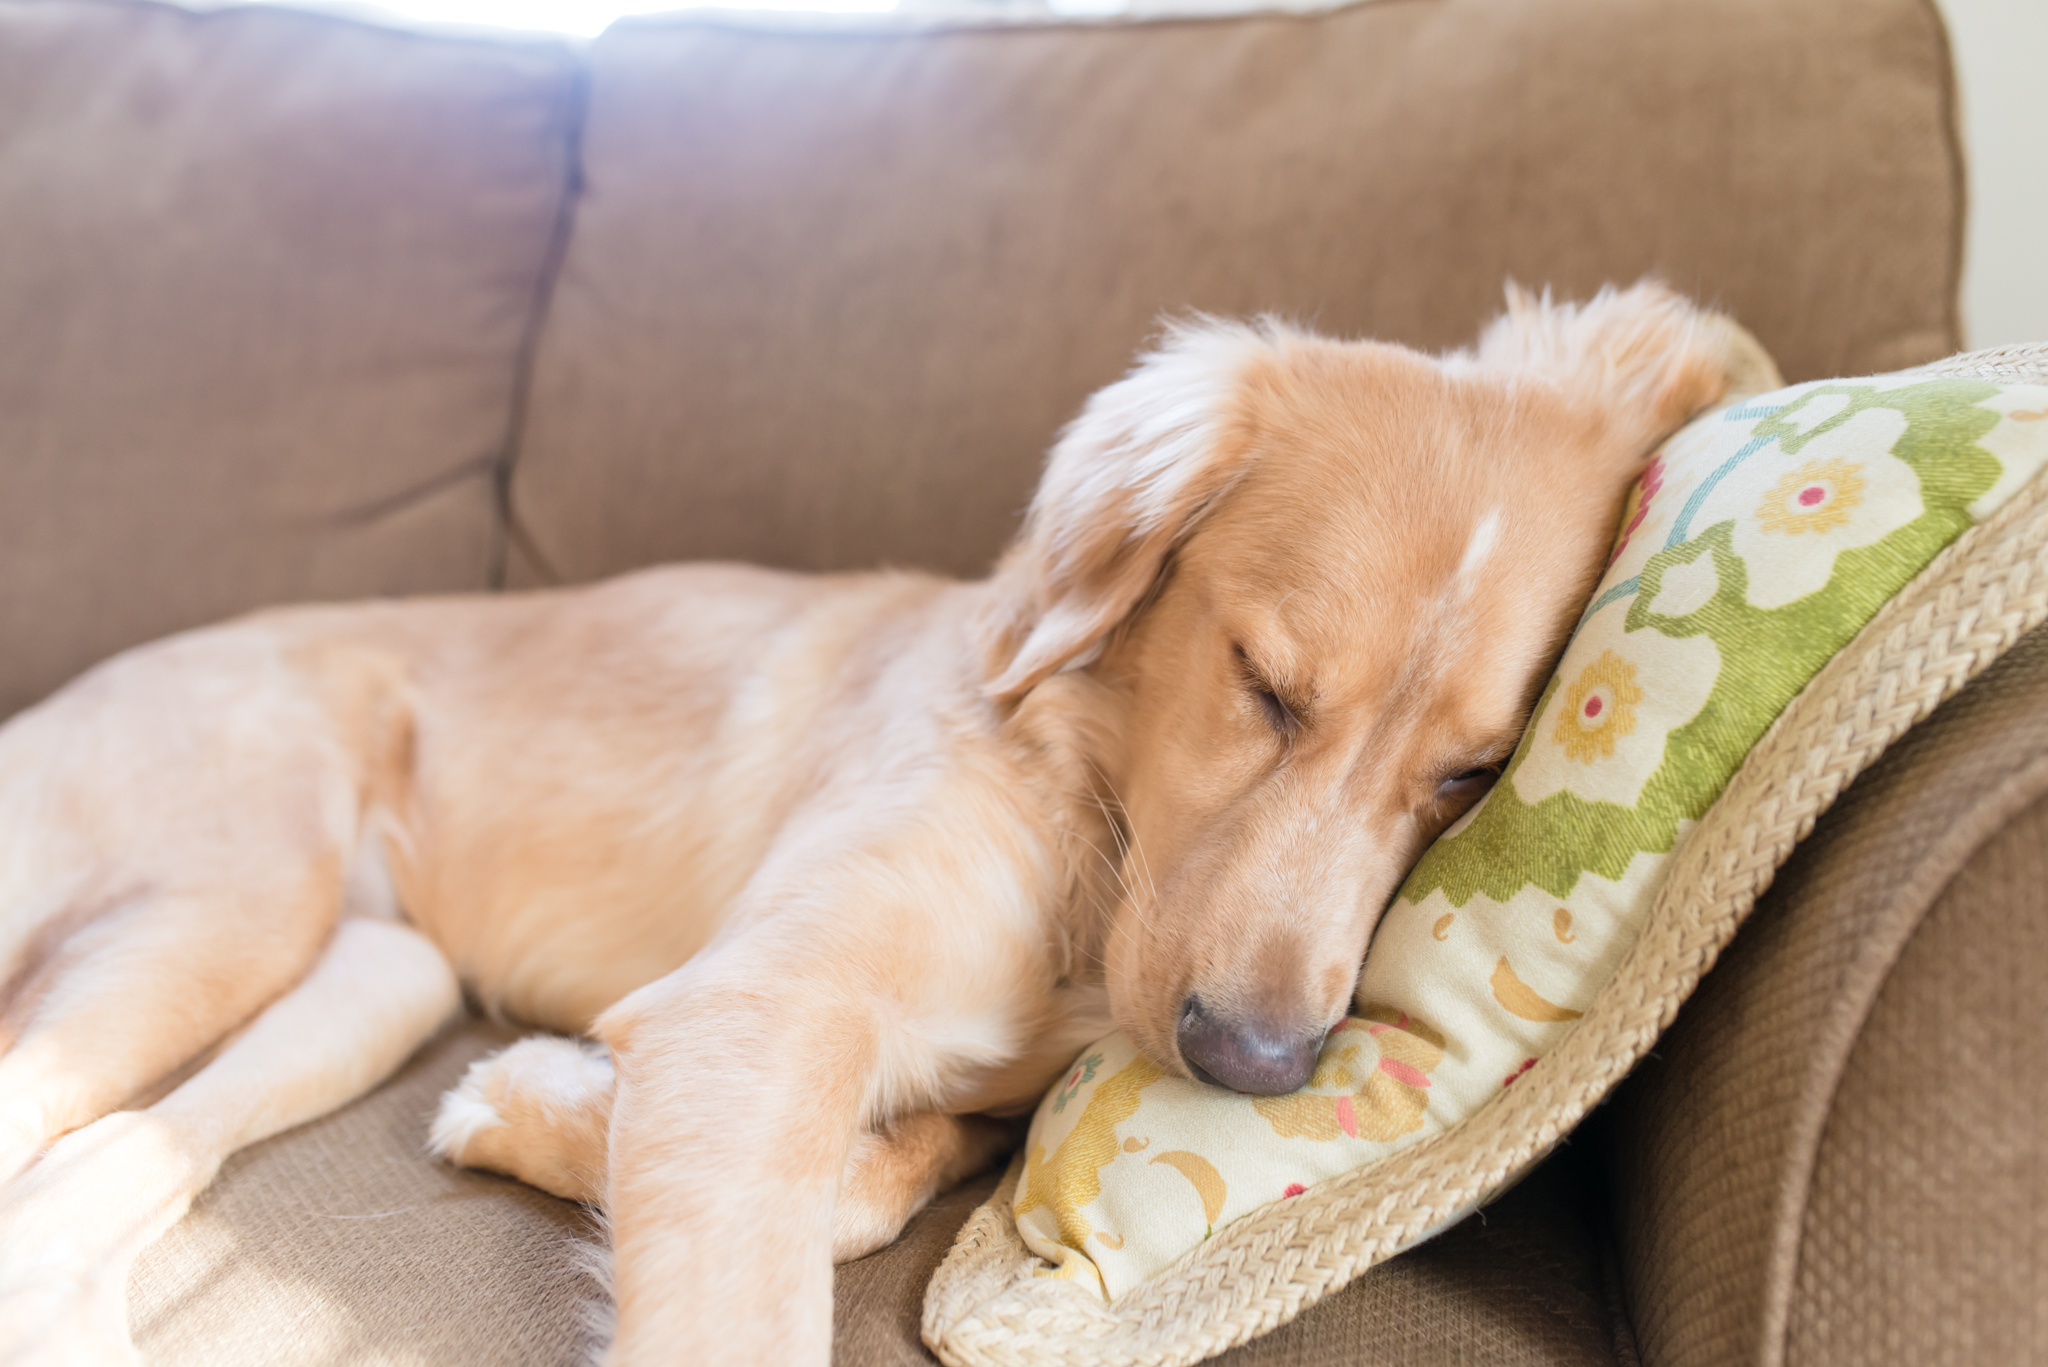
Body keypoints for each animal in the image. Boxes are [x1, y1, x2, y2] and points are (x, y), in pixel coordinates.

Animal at [0, 282, 1769, 1360]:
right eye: (1266, 688)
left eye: (1469, 773)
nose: (1256, 1062)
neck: (1088, 837)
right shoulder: (754, 1002)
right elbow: (748, 1285)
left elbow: (888, 1169)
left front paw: (541, 1101)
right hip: (229, 901)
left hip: (372, 978)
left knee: (97, 1160)